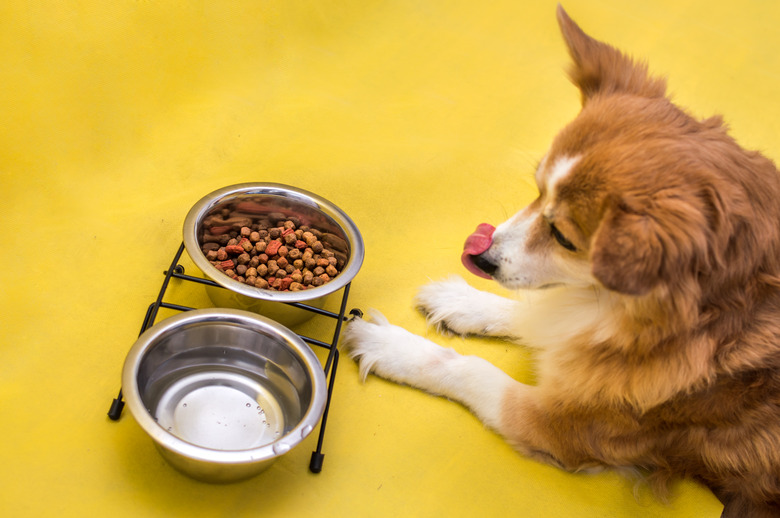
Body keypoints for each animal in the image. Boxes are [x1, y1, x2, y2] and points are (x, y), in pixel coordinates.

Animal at [344, 6, 780, 516]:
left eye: (563, 237)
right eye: (537, 190)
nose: (481, 256)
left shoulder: (560, 427)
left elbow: (468, 368)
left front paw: (393, 347)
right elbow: (536, 315)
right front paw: (463, 301)